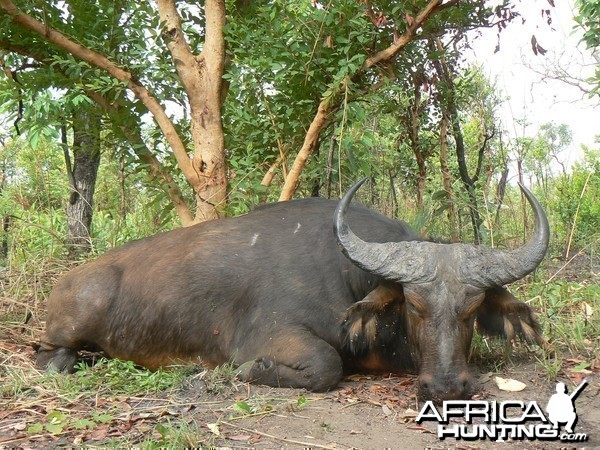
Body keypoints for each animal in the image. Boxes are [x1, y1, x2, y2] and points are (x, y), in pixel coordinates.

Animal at [34, 179, 548, 400]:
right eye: (415, 306)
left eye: (472, 309)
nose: (445, 387)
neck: (347, 273)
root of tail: (69, 280)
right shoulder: (273, 336)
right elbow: (325, 365)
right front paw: (247, 372)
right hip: (72, 322)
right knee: (49, 353)